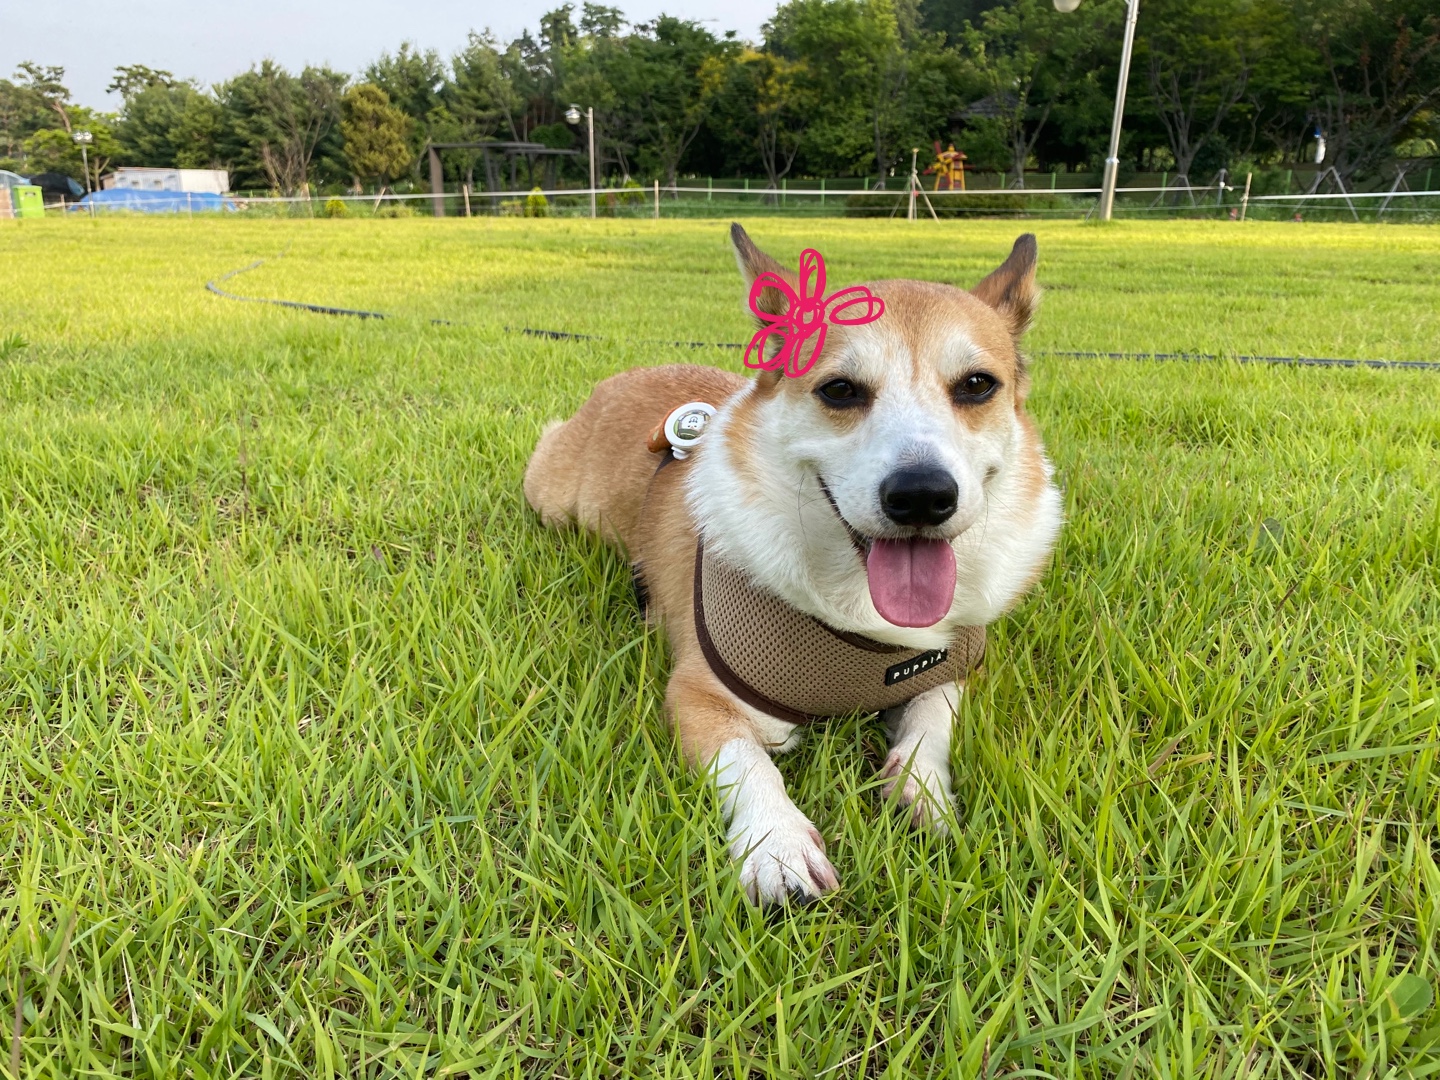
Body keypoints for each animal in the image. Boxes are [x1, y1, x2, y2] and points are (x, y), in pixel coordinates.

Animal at [524, 225, 1062, 904]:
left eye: (976, 385)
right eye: (839, 390)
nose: (922, 496)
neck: (860, 612)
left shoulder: (951, 671)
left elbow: (930, 724)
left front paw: (923, 791)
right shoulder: (698, 695)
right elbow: (750, 762)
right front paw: (777, 845)